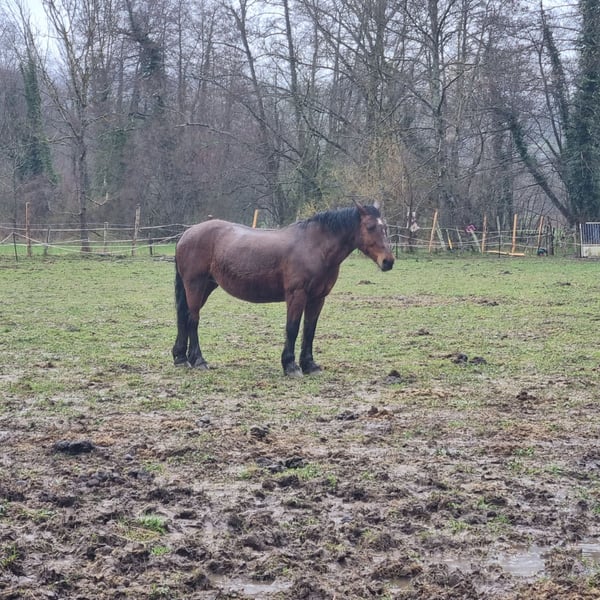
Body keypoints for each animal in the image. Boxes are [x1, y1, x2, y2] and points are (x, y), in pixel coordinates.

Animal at [172, 202, 394, 376]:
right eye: (370, 226)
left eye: (385, 227)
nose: (388, 261)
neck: (315, 247)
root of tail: (187, 233)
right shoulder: (297, 295)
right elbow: (292, 328)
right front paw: (291, 366)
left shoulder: (317, 298)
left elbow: (309, 330)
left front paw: (309, 365)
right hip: (195, 285)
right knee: (192, 319)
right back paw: (198, 360)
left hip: (206, 286)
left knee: (183, 316)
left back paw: (180, 357)